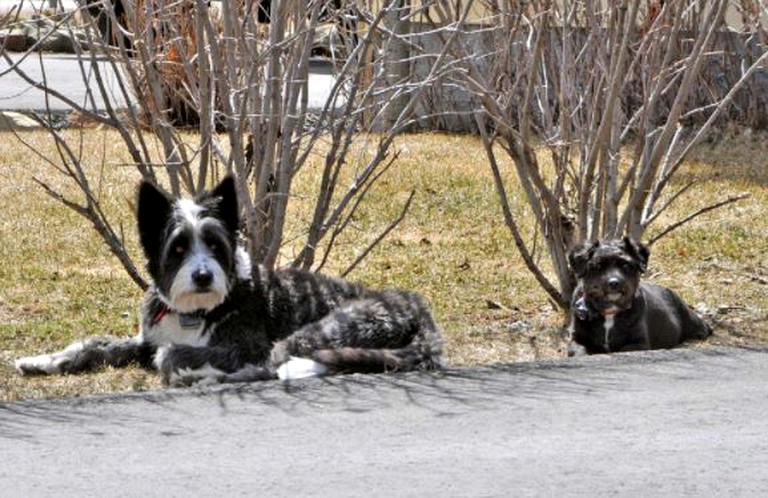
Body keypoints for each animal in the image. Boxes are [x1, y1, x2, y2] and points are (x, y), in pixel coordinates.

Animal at [13, 175, 444, 386]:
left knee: (272, 367)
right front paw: (43, 360)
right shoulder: (146, 337)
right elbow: (96, 344)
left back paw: (207, 378)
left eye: (214, 244)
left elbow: (171, 355)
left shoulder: (244, 345)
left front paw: (190, 367)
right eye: (178, 247)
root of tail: (420, 311)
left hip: (326, 330)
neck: (195, 311)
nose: (203, 276)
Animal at [568, 236, 712, 356]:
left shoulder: (639, 344)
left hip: (690, 318)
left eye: (625, 264)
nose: (614, 282)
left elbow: (624, 350)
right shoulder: (576, 340)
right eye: (598, 266)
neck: (610, 312)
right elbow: (579, 351)